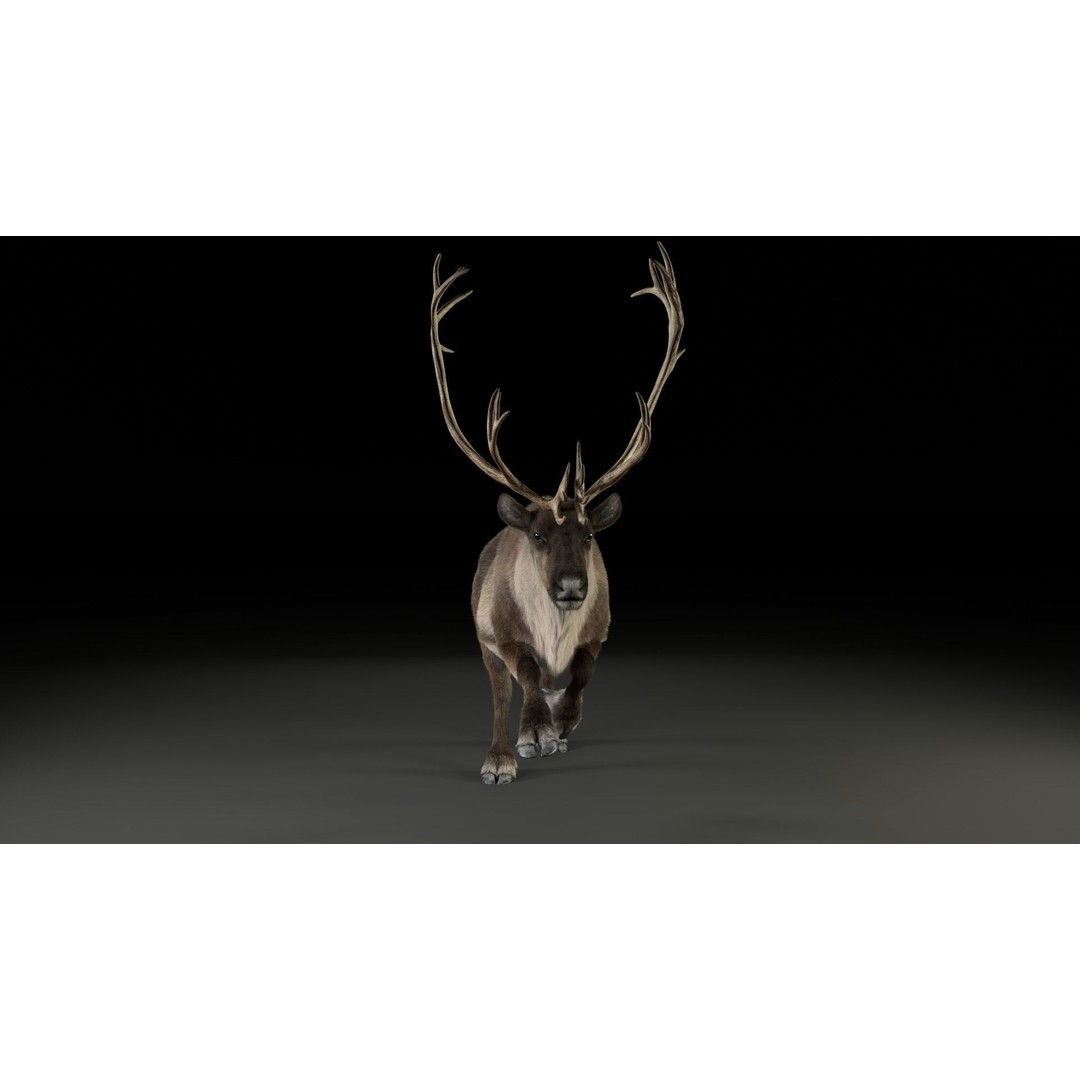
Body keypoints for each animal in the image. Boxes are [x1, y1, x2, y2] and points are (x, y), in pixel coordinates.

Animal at [430, 243, 686, 784]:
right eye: (538, 536)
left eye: (589, 536)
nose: (571, 586)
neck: (555, 635)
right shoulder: (501, 636)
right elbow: (524, 675)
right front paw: (534, 734)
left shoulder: (600, 629)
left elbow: (583, 672)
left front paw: (562, 720)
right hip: (482, 637)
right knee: (501, 692)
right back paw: (502, 755)